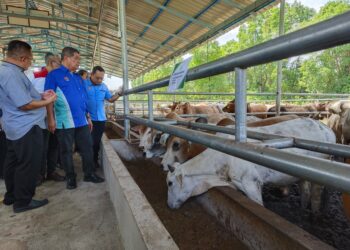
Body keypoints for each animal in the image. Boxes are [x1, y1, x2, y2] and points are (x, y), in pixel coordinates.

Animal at [165, 118, 334, 212]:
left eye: (170, 183)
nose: (169, 205)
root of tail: (326, 127)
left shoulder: (252, 183)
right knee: (305, 191)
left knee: (315, 197)